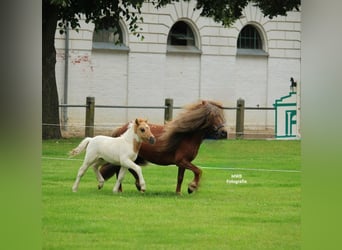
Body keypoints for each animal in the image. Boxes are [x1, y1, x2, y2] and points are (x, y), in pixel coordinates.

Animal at [99, 100, 227, 194]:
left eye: (221, 115)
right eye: (212, 115)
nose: (224, 133)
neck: (186, 137)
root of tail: (120, 129)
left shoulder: (183, 163)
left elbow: (180, 178)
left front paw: (178, 193)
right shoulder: (182, 161)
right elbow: (198, 171)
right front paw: (192, 187)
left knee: (129, 169)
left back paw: (138, 185)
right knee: (119, 171)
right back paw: (121, 190)